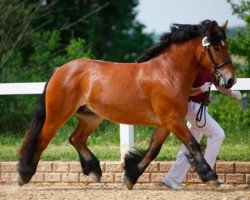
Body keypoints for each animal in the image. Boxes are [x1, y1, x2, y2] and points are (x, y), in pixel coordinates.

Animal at [18, 19, 236, 189]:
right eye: (216, 47)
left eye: (227, 46)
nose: (230, 80)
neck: (167, 73)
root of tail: (60, 70)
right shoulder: (172, 120)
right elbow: (193, 144)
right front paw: (211, 177)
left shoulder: (164, 124)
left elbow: (153, 150)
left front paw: (130, 177)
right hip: (58, 115)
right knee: (41, 139)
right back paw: (24, 174)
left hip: (91, 117)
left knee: (76, 139)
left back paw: (94, 171)